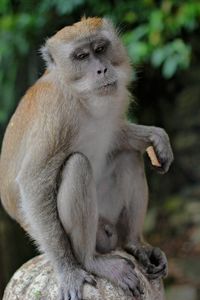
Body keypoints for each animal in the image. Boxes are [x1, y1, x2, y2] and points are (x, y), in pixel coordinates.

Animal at [0, 17, 173, 300]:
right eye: (81, 56)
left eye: (100, 49)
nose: (102, 69)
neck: (82, 97)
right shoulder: (57, 114)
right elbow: (33, 183)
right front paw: (68, 269)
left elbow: (116, 136)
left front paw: (156, 136)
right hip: (93, 234)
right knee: (78, 166)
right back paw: (90, 260)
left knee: (128, 156)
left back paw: (134, 244)